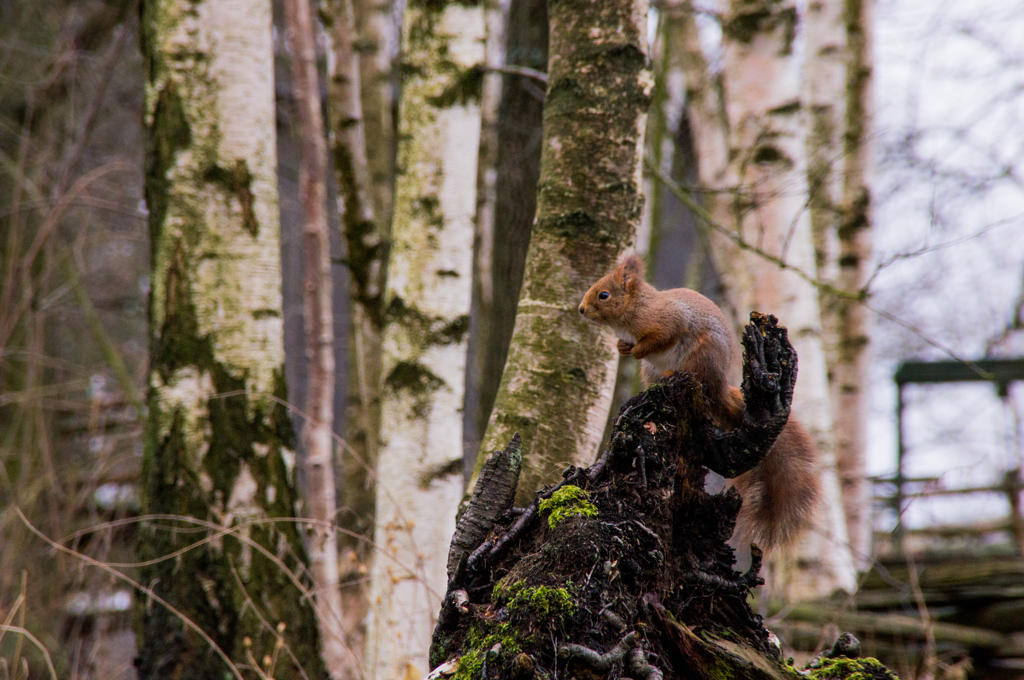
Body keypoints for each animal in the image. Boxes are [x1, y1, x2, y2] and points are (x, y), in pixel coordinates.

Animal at [581, 255, 819, 553]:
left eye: (604, 295)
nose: (581, 309)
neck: (635, 308)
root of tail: (719, 388)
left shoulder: (667, 320)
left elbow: (662, 337)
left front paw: (636, 349)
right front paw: (622, 348)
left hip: (702, 355)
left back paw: (673, 374)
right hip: (652, 371)